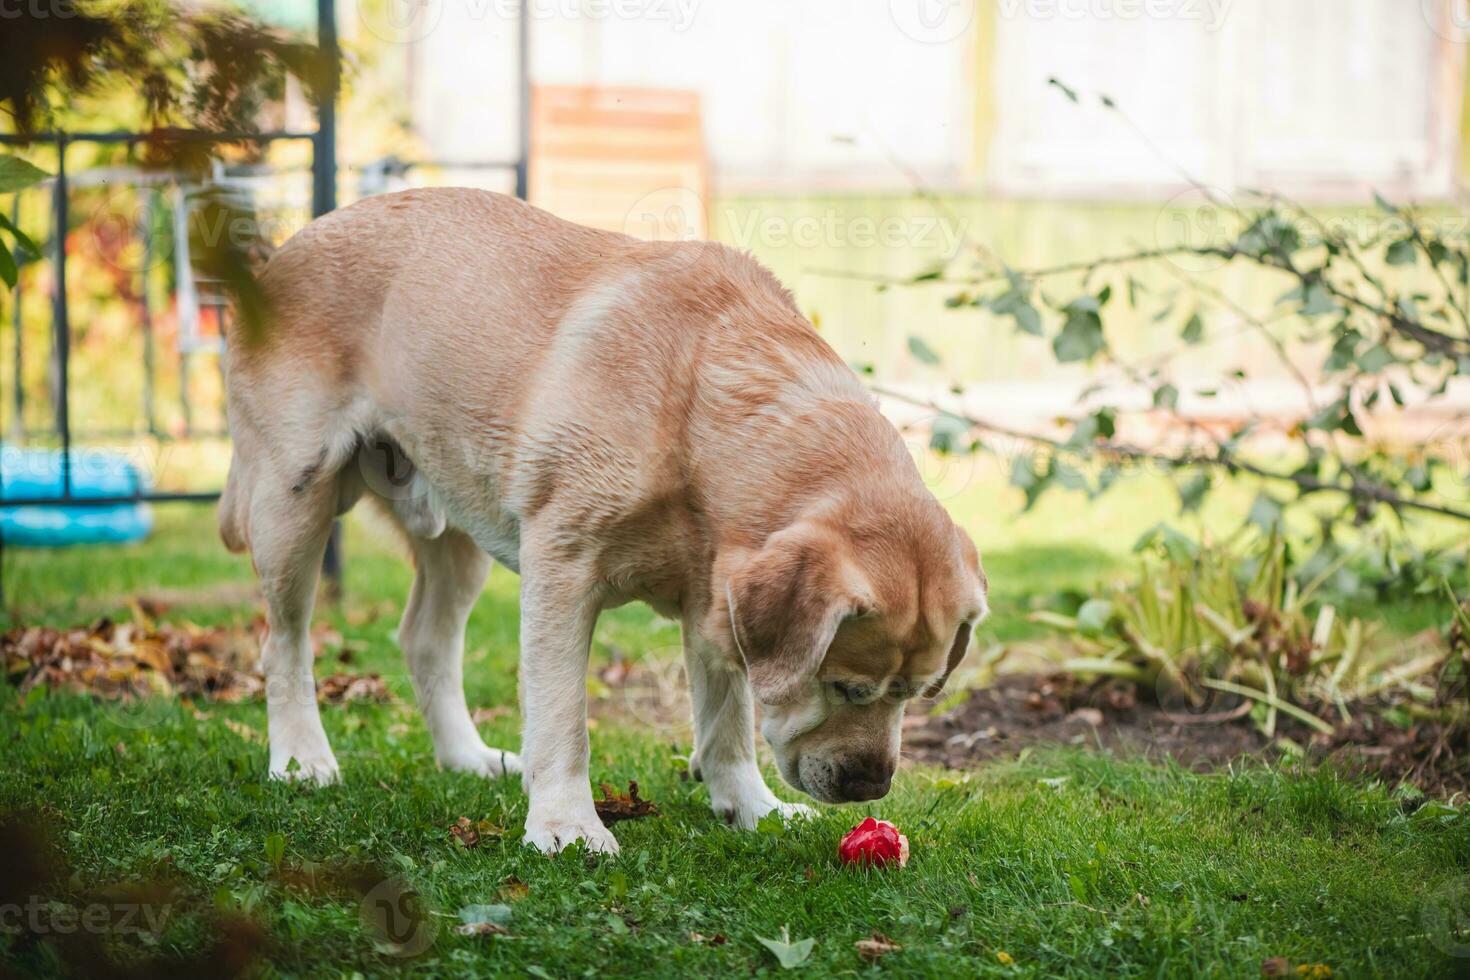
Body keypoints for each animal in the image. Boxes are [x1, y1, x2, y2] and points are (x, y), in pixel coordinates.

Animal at [217, 188, 993, 852]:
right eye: (846, 687)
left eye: (918, 693)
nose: (871, 786)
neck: (700, 402)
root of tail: (285, 249)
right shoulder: (562, 570)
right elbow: (564, 719)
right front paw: (566, 825)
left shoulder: (715, 599)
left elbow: (728, 722)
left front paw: (750, 808)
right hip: (295, 501)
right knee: (284, 644)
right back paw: (300, 758)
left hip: (458, 528)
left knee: (424, 641)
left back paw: (465, 756)